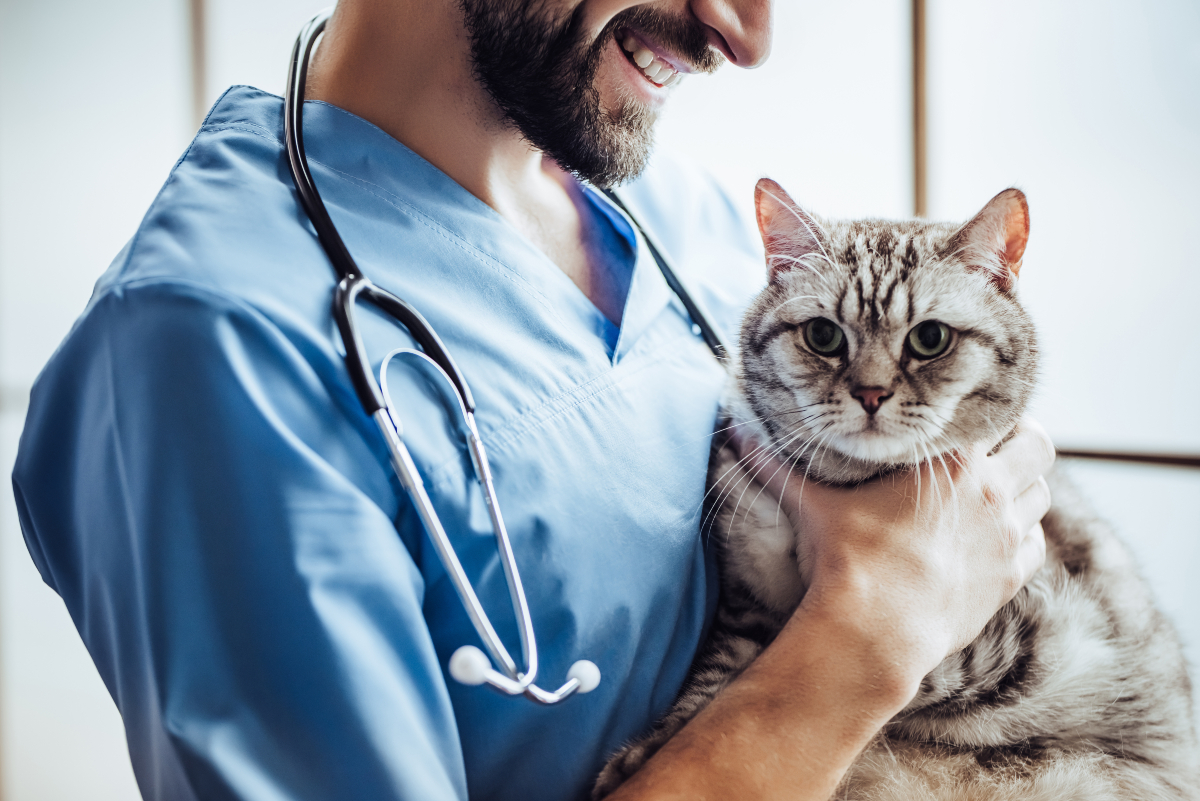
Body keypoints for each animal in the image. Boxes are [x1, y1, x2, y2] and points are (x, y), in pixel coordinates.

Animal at [592, 181, 1200, 801]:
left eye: (930, 338)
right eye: (823, 336)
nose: (870, 393)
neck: (844, 480)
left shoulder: (1027, 637)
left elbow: (898, 681)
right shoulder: (744, 601)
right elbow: (720, 673)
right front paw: (650, 747)